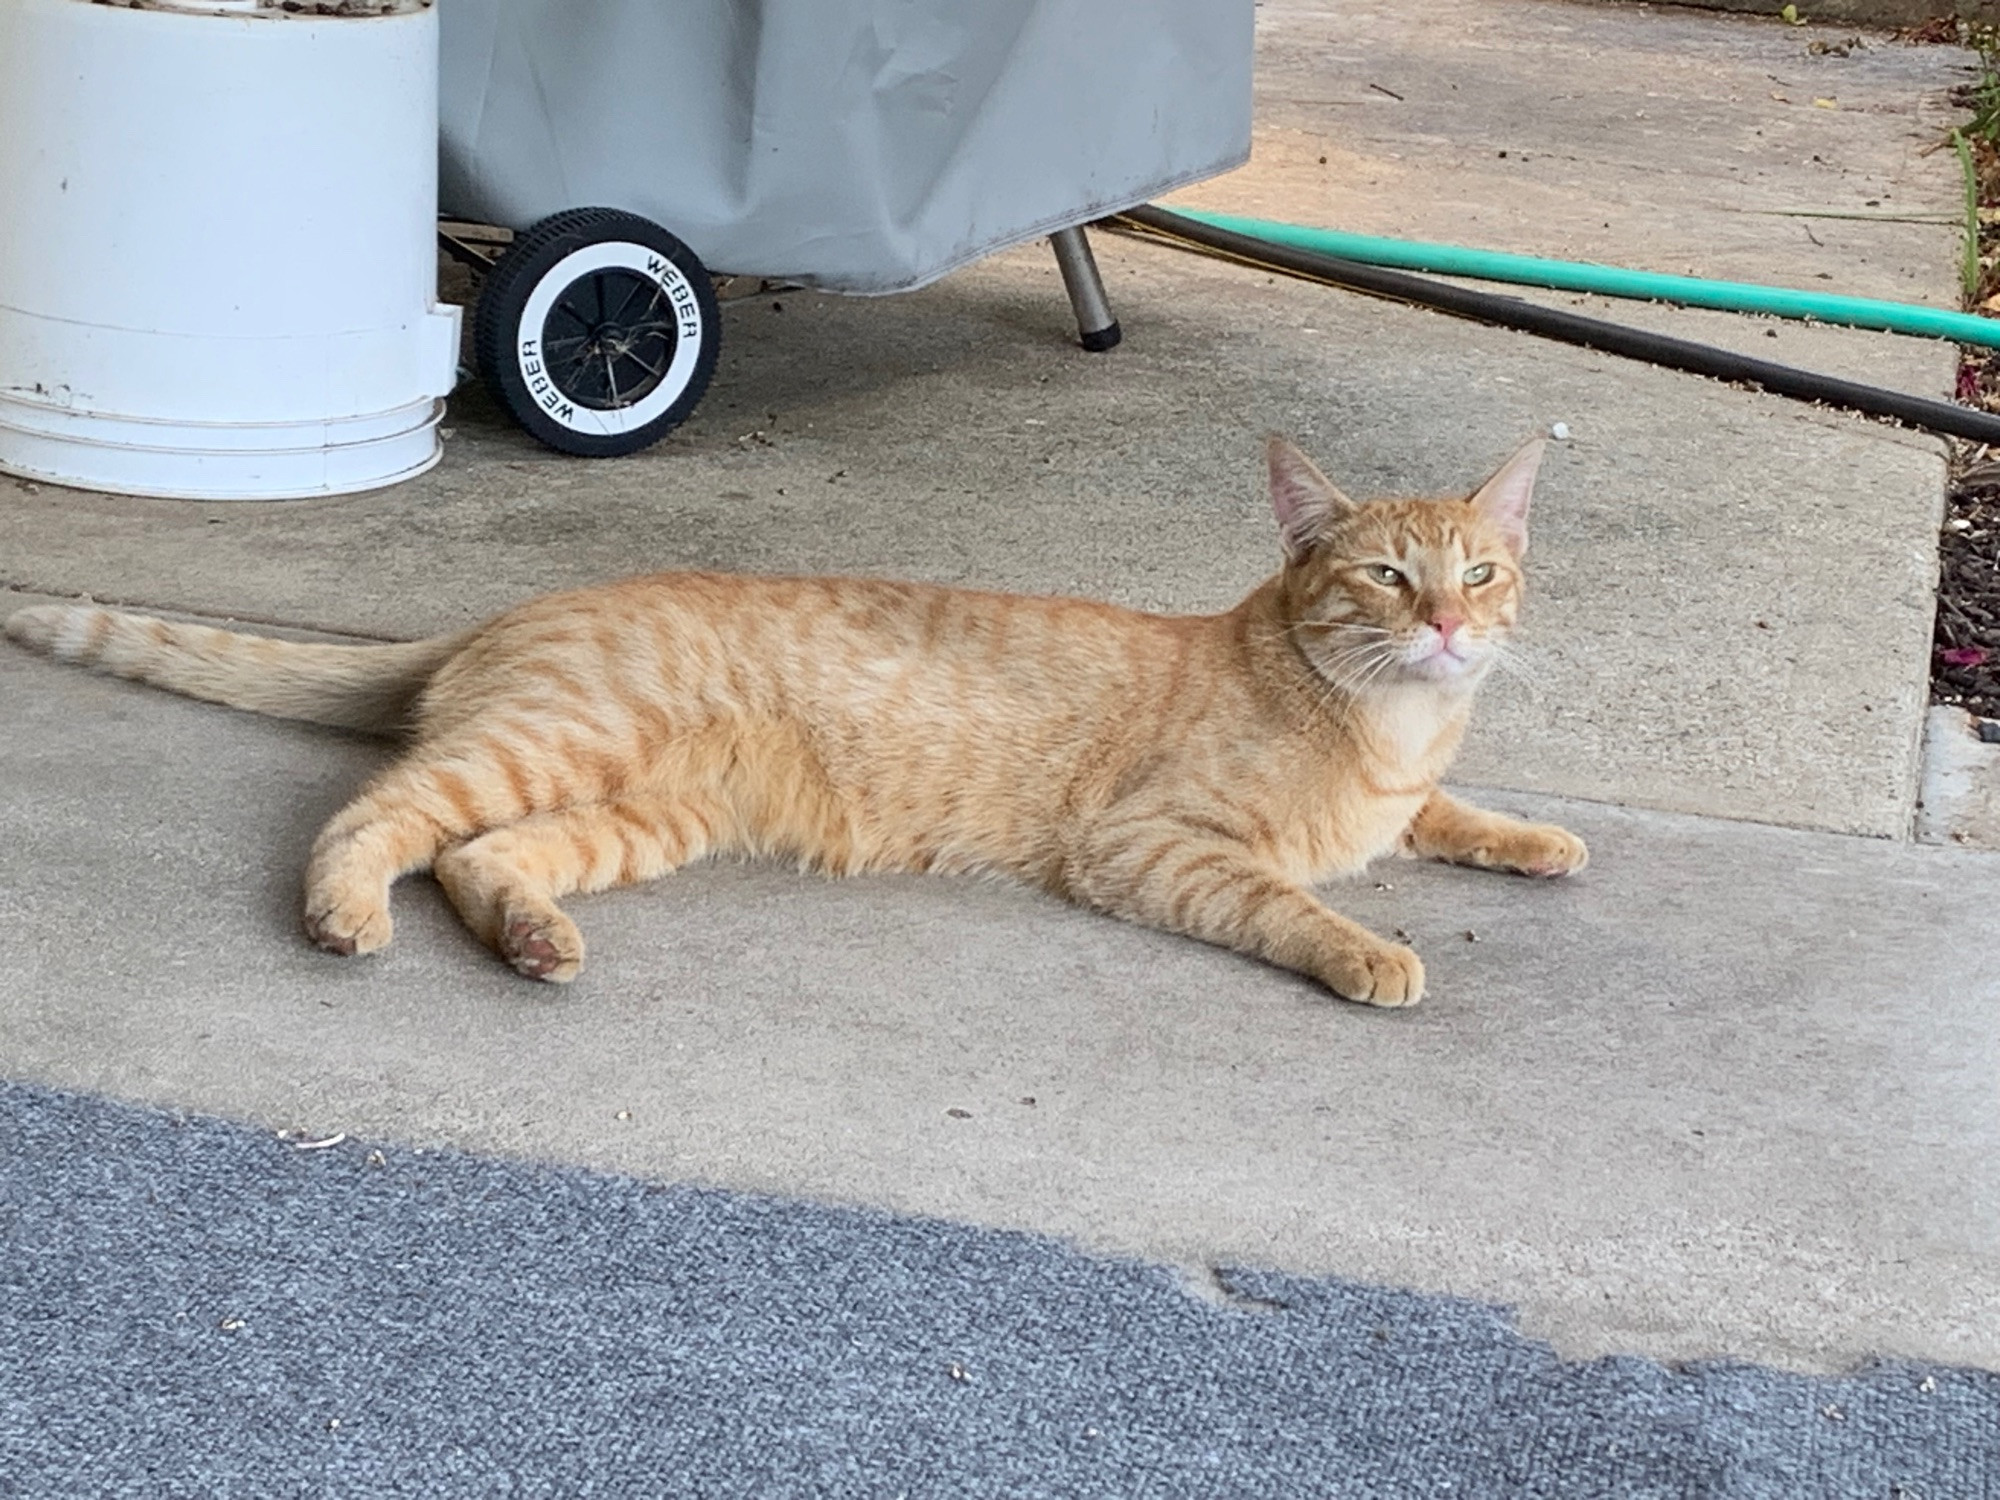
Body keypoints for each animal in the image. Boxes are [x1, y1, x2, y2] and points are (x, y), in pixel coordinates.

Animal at [7, 444, 1584, 1012]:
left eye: (1479, 574)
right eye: (1382, 576)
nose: (1450, 627)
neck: (1382, 728)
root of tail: (521, 600)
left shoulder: (1406, 790)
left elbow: (1447, 816)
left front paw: (1532, 834)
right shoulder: (1150, 849)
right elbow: (1294, 901)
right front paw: (1371, 949)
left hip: (643, 814)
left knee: (479, 856)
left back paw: (533, 941)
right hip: (552, 746)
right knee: (372, 815)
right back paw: (345, 915)